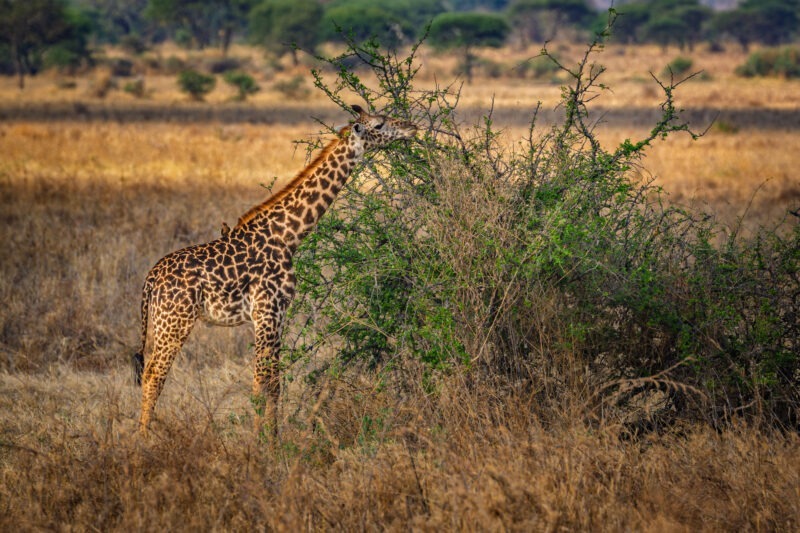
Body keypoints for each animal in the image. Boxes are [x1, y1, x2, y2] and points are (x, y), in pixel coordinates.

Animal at [134, 106, 416, 434]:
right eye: (379, 124)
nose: (411, 127)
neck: (287, 235)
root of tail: (150, 279)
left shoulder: (278, 314)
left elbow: (274, 385)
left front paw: (274, 438)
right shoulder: (266, 311)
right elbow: (260, 385)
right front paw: (261, 443)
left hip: (163, 322)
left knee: (150, 372)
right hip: (176, 321)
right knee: (154, 374)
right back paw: (144, 438)